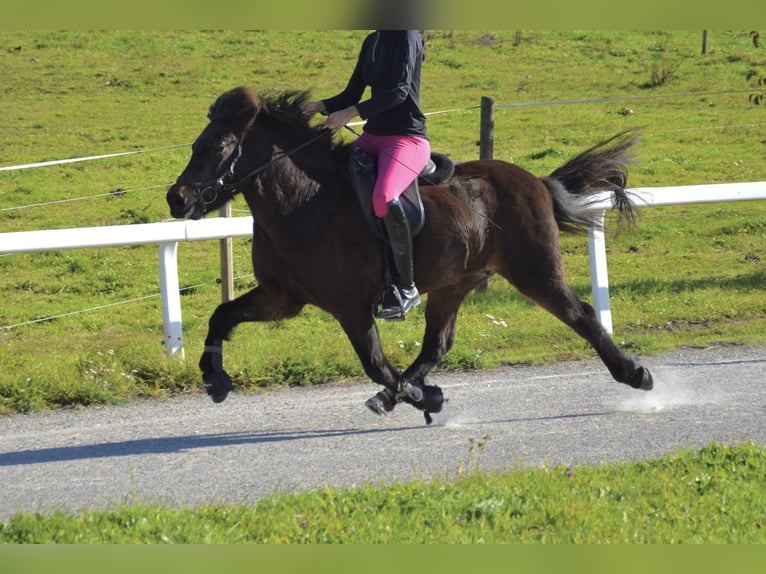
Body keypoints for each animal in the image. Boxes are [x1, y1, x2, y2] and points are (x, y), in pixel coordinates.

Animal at [166, 86, 653, 424]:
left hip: (535, 272)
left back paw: (636, 374)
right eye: (196, 144)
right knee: (437, 343)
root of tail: (536, 181)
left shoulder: (350, 306)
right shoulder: (280, 298)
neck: (303, 201)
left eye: (221, 146)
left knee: (581, 315)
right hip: (456, 282)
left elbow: (376, 364)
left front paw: (425, 397)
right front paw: (214, 378)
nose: (177, 198)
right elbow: (221, 316)